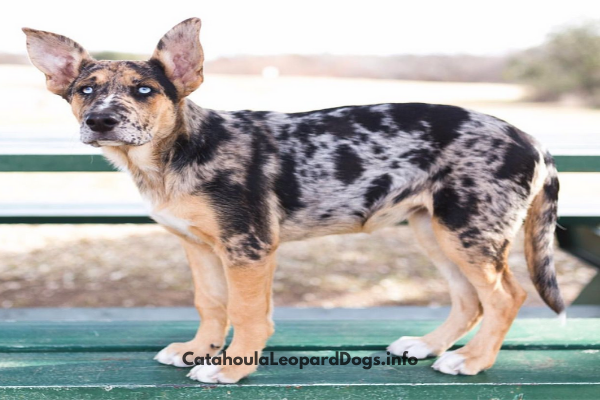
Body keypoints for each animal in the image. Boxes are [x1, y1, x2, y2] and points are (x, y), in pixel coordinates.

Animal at [22, 17, 564, 382]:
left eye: (144, 90)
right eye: (84, 90)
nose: (100, 121)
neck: (177, 153)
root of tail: (532, 140)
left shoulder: (249, 245)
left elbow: (246, 313)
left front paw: (231, 368)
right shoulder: (199, 247)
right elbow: (210, 303)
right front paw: (198, 349)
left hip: (469, 230)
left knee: (506, 297)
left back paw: (472, 361)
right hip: (434, 229)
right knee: (469, 299)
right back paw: (428, 346)